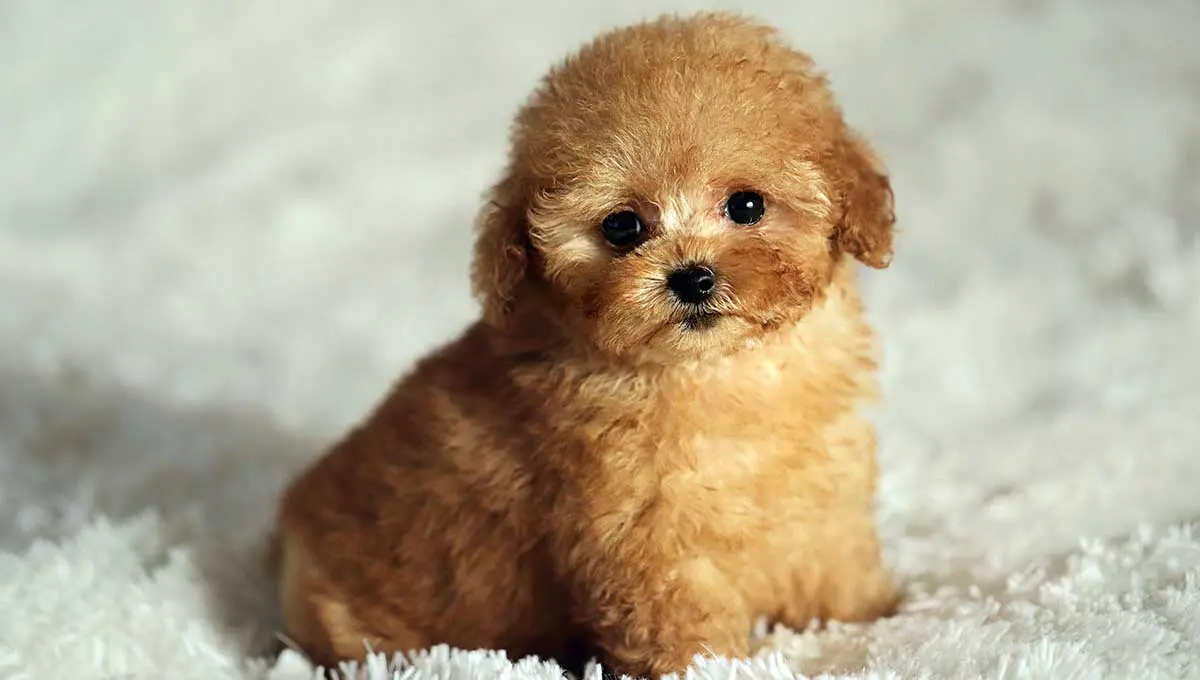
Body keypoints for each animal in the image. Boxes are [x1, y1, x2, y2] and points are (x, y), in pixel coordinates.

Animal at [276, 11, 897, 680]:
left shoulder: (828, 495)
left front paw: (882, 613)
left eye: (747, 204)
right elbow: (685, 628)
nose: (692, 277)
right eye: (622, 227)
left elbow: (842, 568)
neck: (716, 371)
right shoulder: (651, 544)